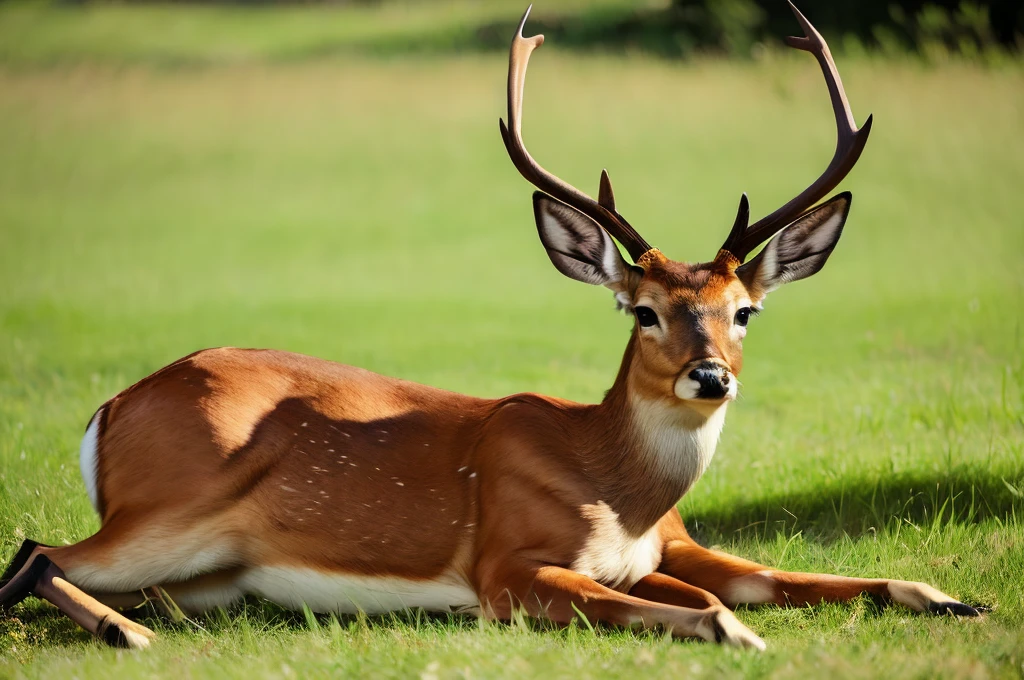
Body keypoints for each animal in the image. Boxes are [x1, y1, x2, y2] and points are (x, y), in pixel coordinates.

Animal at [0, 2, 978, 651]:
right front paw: (736, 633)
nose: (711, 375)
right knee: (35, 552)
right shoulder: (507, 562)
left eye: (745, 311)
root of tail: (111, 411)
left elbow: (776, 576)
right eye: (644, 310)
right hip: (169, 507)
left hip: (200, 561)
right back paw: (128, 635)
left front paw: (949, 597)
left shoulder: (672, 543)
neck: (616, 483)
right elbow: (694, 606)